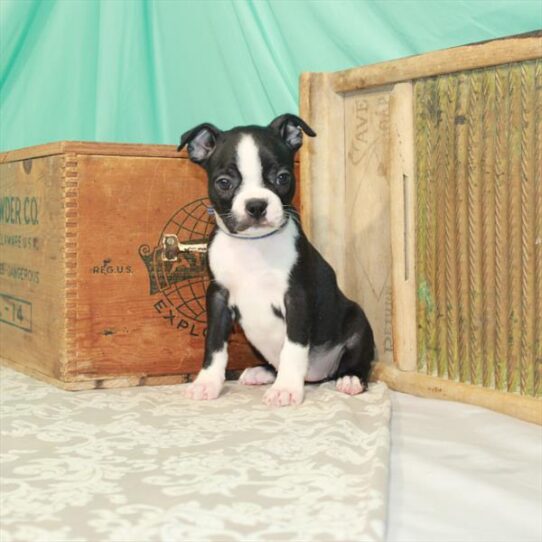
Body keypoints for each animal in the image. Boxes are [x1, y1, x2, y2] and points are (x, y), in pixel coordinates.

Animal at [178, 115, 374, 406]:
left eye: (282, 177)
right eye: (224, 183)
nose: (256, 205)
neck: (254, 246)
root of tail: (318, 375)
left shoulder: (297, 297)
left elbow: (293, 347)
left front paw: (286, 389)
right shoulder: (218, 297)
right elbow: (213, 344)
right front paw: (207, 383)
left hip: (358, 320)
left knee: (358, 359)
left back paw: (350, 378)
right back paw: (262, 372)